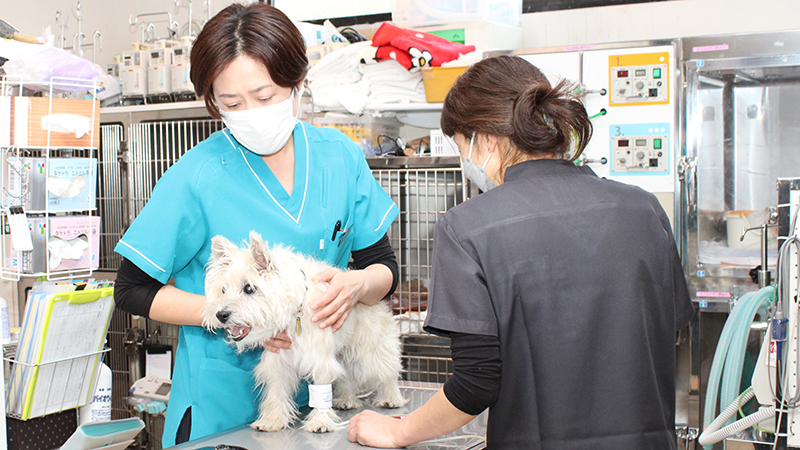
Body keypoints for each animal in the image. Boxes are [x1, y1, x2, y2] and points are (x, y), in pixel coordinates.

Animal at [203, 231, 407, 433]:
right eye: (223, 290)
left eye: (249, 288)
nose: (221, 315)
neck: (295, 312)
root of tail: (379, 302)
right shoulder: (279, 360)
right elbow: (277, 390)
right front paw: (273, 420)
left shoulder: (320, 358)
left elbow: (322, 389)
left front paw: (320, 422)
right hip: (342, 356)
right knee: (346, 377)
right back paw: (346, 400)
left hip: (373, 351)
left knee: (388, 373)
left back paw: (391, 398)